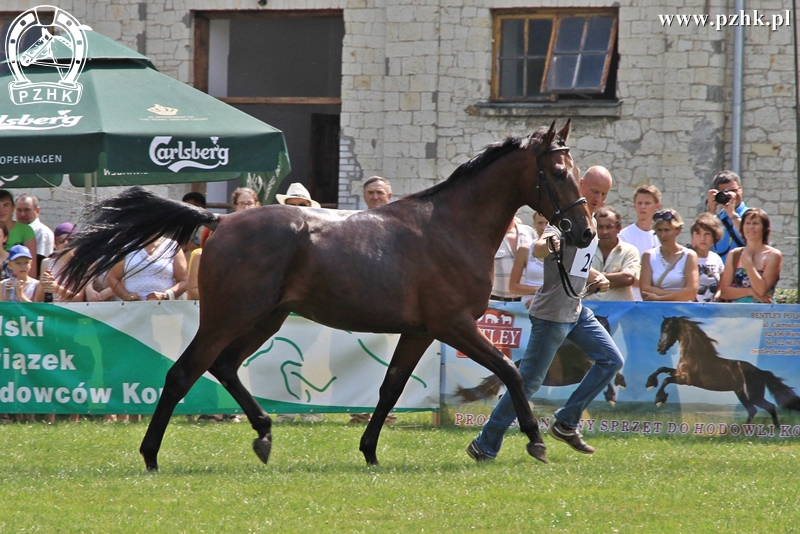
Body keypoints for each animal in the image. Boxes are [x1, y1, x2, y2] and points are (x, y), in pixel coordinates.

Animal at [61, 122, 592, 474]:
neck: (450, 227)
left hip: (266, 318)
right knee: (183, 373)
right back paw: (151, 456)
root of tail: (220, 222)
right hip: (228, 317)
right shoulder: (454, 325)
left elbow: (391, 388)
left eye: (575, 169)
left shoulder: (419, 332)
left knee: (224, 367)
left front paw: (370, 451)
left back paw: (264, 433)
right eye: (557, 171)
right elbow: (510, 372)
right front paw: (537, 441)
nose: (584, 231)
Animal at [644, 318, 800, 428]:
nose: (660, 349)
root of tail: (760, 372)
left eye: (667, 329)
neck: (694, 355)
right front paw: (650, 383)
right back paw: (741, 431)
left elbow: (666, 380)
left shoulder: (685, 379)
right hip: (741, 394)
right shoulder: (678, 373)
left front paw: (659, 399)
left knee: (769, 407)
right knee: (753, 410)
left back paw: (776, 429)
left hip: (753, 395)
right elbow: (661, 369)